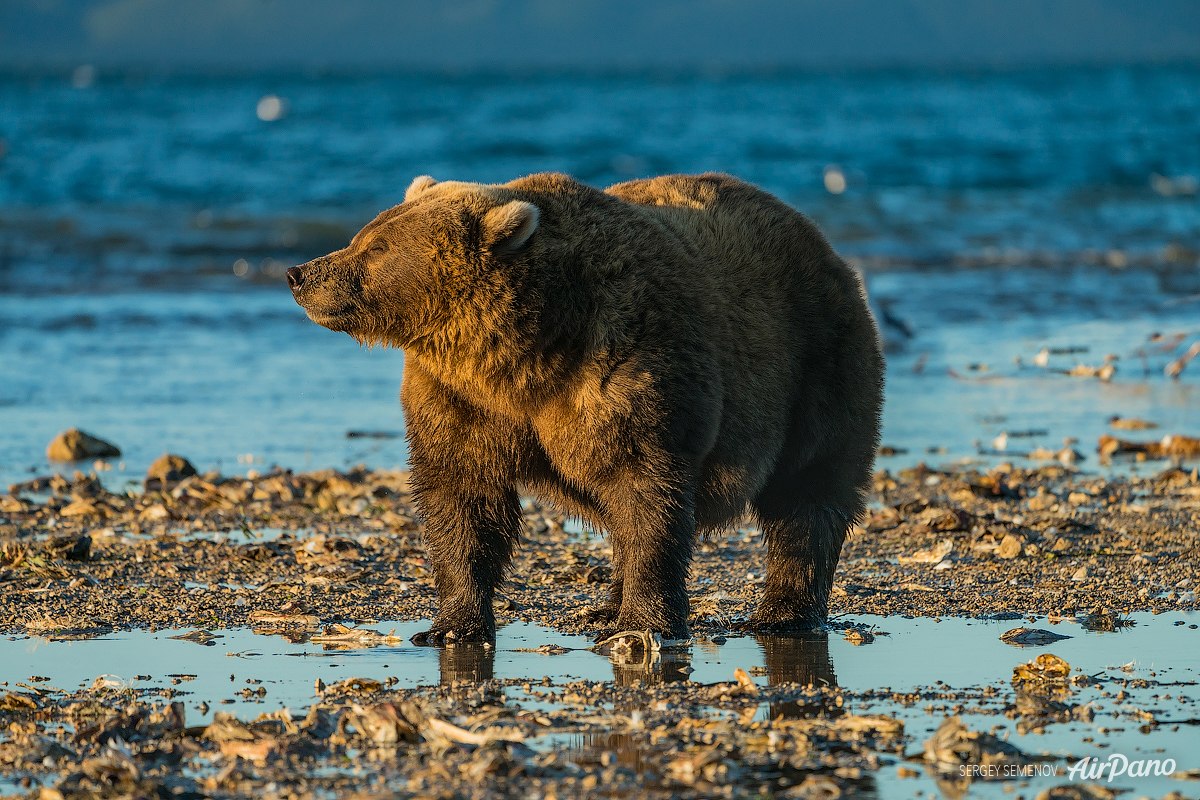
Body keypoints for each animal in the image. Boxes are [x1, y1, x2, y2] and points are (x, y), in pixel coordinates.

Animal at [286, 173, 888, 642]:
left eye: (374, 247)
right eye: (365, 233)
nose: (300, 274)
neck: (520, 356)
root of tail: (818, 238)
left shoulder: (624, 360)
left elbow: (646, 488)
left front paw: (643, 623)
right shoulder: (458, 396)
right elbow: (462, 495)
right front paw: (451, 622)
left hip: (816, 359)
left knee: (808, 489)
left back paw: (784, 611)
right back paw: (605, 603)